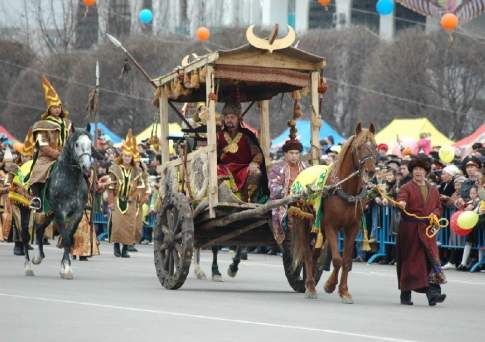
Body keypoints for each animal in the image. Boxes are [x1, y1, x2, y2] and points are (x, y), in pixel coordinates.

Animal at [23, 130, 92, 280]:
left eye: (90, 144)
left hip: (49, 214)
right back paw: (28, 267)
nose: (86, 167)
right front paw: (66, 269)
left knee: (39, 230)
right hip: (26, 211)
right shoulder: (60, 213)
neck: (71, 180)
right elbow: (65, 239)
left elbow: (69, 238)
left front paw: (65, 267)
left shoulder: (77, 214)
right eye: (76, 144)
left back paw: (38, 257)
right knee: (25, 236)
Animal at [290, 122, 376, 302]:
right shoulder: (331, 226)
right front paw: (330, 285)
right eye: (358, 147)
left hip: (318, 228)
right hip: (302, 221)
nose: (370, 171)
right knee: (307, 253)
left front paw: (344, 291)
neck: (343, 189)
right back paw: (310, 286)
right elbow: (337, 259)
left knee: (314, 255)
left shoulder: (352, 227)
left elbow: (346, 261)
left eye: (375, 146)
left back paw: (310, 284)